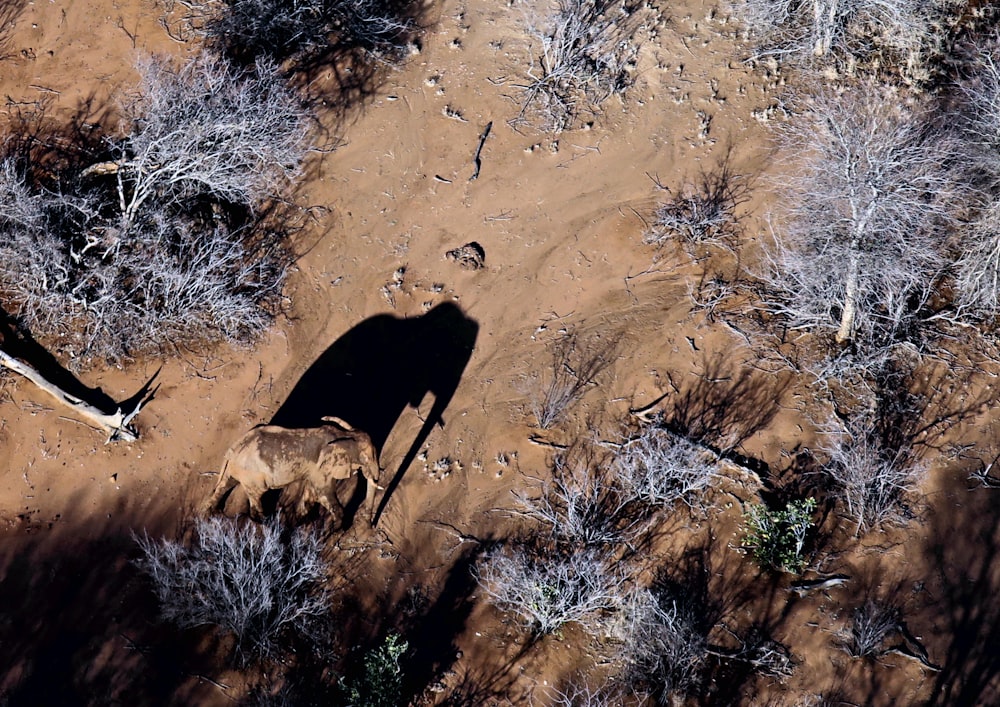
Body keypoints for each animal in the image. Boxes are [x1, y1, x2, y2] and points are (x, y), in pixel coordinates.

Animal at [205, 418, 380, 528]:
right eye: (366, 458)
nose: (369, 526)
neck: (344, 436)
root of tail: (233, 450)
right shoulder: (320, 468)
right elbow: (323, 494)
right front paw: (337, 529)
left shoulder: (314, 470)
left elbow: (311, 495)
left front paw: (301, 521)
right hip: (252, 475)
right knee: (257, 495)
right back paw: (264, 525)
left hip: (236, 469)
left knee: (225, 484)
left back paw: (211, 514)